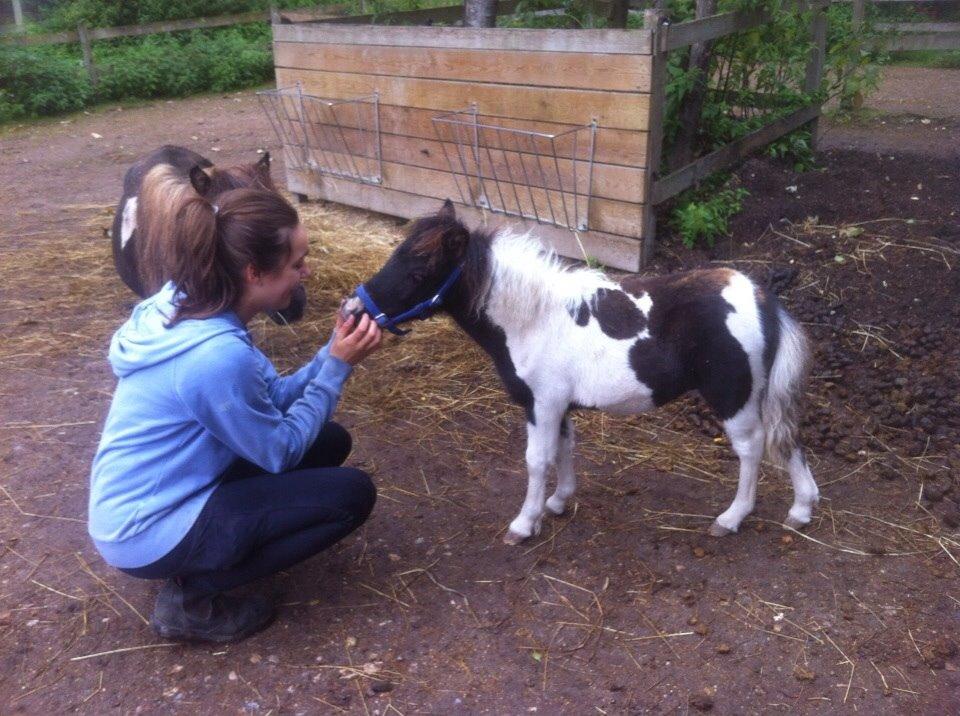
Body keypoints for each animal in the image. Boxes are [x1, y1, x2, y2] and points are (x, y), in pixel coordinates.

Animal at [342, 200, 820, 544]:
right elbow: (564, 450)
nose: (351, 310)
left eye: (419, 270)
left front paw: (524, 524)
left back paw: (732, 517)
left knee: (753, 448)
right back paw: (801, 508)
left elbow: (537, 460)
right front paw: (557, 502)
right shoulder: (559, 406)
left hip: (732, 397)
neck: (532, 320)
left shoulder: (542, 404)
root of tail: (762, 298)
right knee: (786, 439)